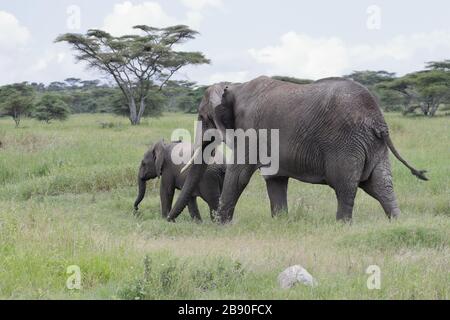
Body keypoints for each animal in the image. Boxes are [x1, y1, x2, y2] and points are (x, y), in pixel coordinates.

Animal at [167, 76, 428, 224]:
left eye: (203, 117)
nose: (168, 220)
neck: (233, 86)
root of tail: (378, 120)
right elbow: (274, 179)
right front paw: (281, 222)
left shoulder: (250, 129)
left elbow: (239, 175)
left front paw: (220, 225)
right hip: (372, 145)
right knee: (380, 185)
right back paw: (396, 221)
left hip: (346, 144)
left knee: (346, 186)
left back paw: (341, 226)